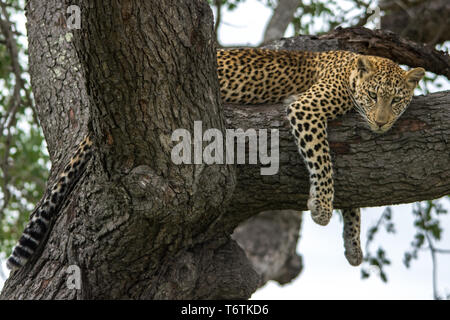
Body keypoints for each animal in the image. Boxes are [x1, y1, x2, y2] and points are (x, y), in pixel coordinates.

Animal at [7, 47, 424, 270]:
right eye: (373, 96)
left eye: (396, 101)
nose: (382, 123)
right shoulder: (306, 109)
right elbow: (323, 162)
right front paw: (321, 206)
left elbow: (352, 194)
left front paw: (353, 245)